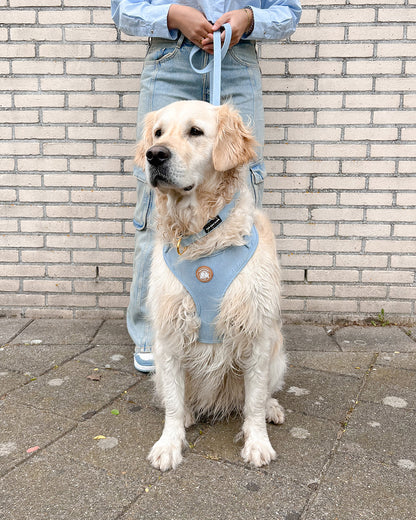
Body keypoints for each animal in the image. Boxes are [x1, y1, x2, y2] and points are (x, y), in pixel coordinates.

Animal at [135, 100, 284, 472]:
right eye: (158, 133)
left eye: (195, 131)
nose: (154, 155)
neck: (203, 233)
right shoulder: (169, 336)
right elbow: (174, 404)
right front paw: (169, 444)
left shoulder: (258, 333)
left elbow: (254, 402)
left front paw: (257, 443)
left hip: (278, 354)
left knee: (260, 395)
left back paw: (272, 407)